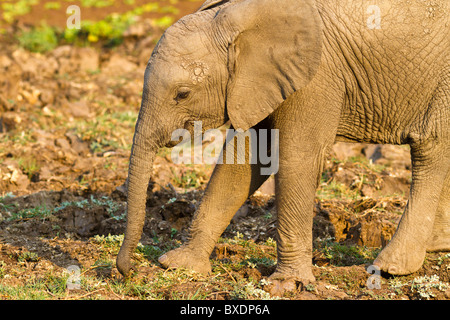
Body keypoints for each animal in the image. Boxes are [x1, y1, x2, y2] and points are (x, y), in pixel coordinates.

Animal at [117, 0, 450, 284]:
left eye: (182, 94)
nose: (128, 271)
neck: (236, 16)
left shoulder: (317, 75)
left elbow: (295, 157)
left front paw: (288, 283)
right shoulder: (257, 82)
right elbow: (242, 162)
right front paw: (179, 265)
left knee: (430, 149)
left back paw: (391, 267)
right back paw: (435, 247)